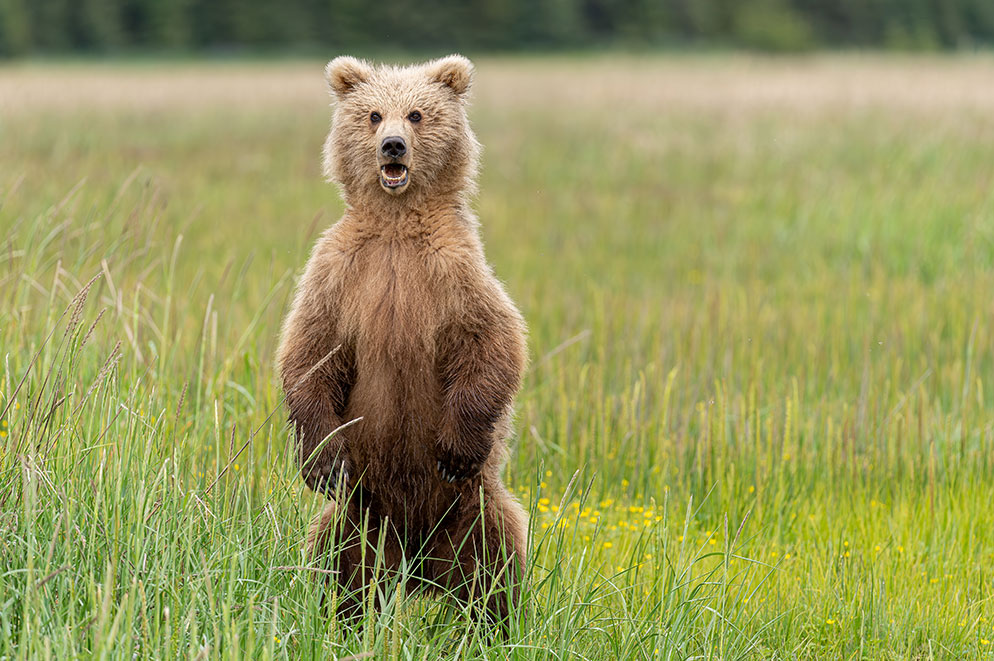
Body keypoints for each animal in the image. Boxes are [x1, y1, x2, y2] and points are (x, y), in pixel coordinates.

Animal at [276, 54, 532, 628]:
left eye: (416, 114)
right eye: (373, 115)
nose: (392, 146)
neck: (396, 225)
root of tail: (417, 569)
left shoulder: (454, 272)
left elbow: (494, 341)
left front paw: (455, 448)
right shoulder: (339, 274)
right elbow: (308, 353)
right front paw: (324, 460)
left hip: (472, 508)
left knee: (494, 560)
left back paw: (493, 625)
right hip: (361, 515)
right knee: (340, 558)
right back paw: (343, 616)